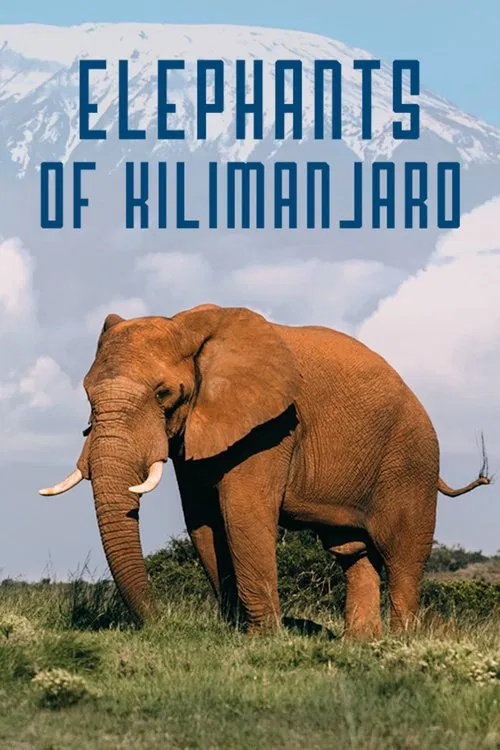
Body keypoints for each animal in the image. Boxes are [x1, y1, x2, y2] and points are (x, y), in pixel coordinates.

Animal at [39, 304, 490, 638]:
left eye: (164, 393)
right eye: (86, 394)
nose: (157, 624)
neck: (189, 328)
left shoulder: (272, 427)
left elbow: (243, 512)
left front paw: (261, 639)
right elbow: (202, 520)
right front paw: (235, 631)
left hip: (411, 460)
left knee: (403, 555)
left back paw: (400, 643)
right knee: (353, 553)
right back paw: (360, 645)